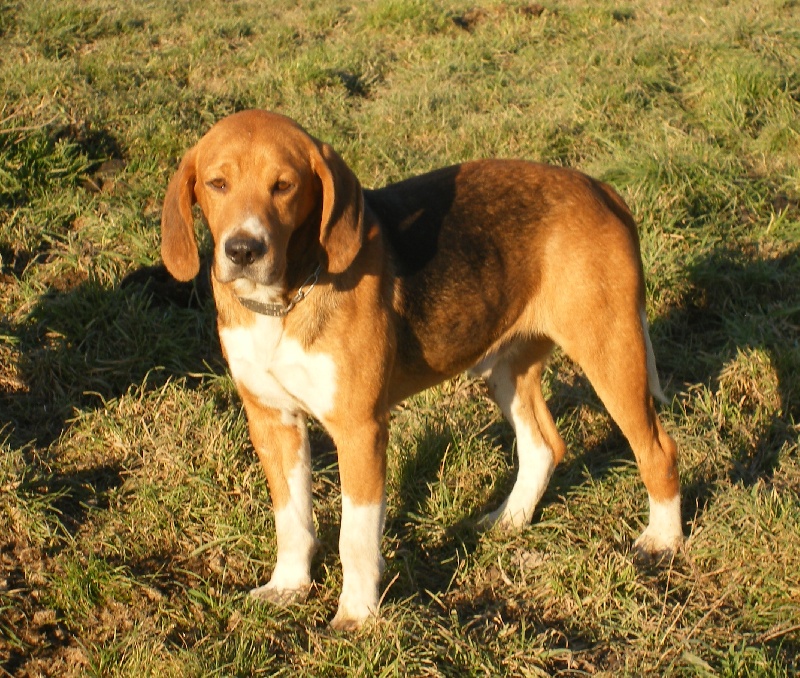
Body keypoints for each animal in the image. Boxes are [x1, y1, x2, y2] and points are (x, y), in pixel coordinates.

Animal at [161, 111, 680, 632]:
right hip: (507, 369)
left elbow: (356, 535)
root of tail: (597, 187)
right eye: (218, 184)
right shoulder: (272, 421)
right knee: (544, 447)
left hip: (610, 351)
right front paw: (289, 585)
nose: (243, 250)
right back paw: (510, 519)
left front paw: (356, 613)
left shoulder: (359, 429)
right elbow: (291, 519)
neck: (284, 302)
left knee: (658, 450)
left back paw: (663, 540)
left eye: (284, 185)